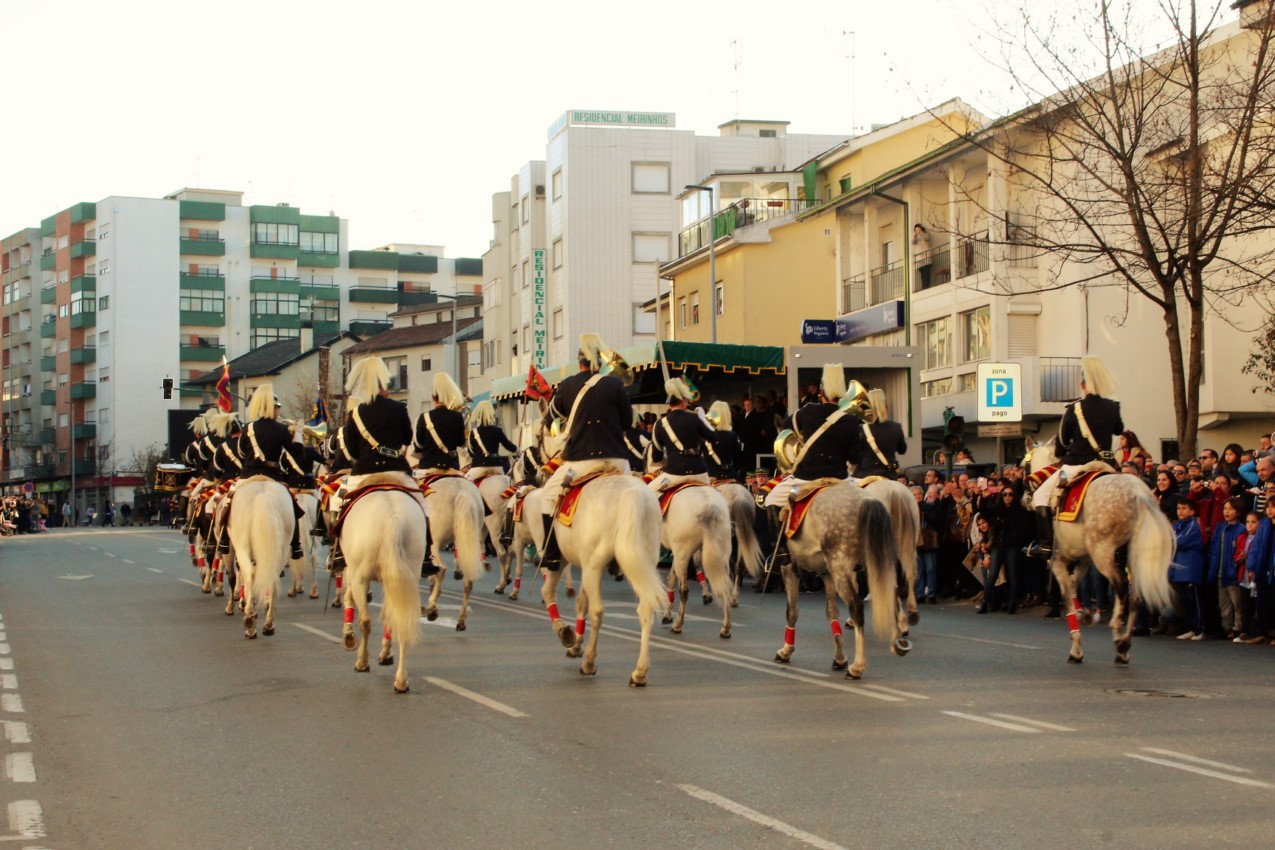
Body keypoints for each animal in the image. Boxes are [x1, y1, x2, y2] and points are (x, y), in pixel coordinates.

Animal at [226, 479, 293, 637]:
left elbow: (235, 576)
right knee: (272, 578)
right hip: (283, 548)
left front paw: (239, 605)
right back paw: (268, 624)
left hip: (242, 545)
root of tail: (264, 495)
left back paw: (250, 620)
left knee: (249, 574)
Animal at [339, 476, 428, 693]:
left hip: (361, 577)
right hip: (405, 577)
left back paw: (362, 662)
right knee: (401, 621)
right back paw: (401, 680)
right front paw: (386, 653)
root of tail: (393, 518)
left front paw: (349, 636)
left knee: (365, 621)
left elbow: (349, 599)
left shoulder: (353, 572)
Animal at [425, 476, 489, 629]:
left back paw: (432, 609)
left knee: (441, 569)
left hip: (434, 544)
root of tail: (462, 491)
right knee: (468, 582)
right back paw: (461, 621)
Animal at [770, 481, 912, 683]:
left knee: (857, 607)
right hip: (878, 561)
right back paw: (898, 641)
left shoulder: (791, 568)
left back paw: (857, 667)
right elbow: (832, 613)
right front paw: (839, 658)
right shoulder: (827, 574)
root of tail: (867, 500)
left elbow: (792, 611)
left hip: (842, 568)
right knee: (894, 595)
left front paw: (785, 651)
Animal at [1025, 438, 1173, 662]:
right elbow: (1074, 585)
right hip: (1133, 554)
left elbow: (1068, 593)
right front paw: (1084, 615)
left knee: (1121, 586)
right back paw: (1124, 646)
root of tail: (1138, 493)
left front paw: (1076, 647)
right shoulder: (1085, 559)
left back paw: (1119, 636)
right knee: (1136, 595)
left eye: (1024, 465)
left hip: (1103, 554)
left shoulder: (1058, 561)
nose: (1025, 499)